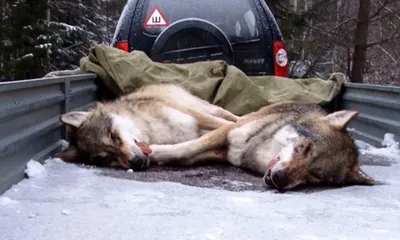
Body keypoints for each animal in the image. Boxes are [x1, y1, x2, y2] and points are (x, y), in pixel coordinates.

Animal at [55, 83, 239, 170]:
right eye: (106, 158)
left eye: (113, 136)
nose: (136, 162)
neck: (151, 131)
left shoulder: (195, 117)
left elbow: (228, 125)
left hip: (209, 109)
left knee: (229, 116)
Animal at [148, 101, 376, 191]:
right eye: (305, 148)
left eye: (314, 176)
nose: (280, 179)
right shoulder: (229, 132)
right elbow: (188, 147)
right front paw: (156, 151)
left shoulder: (223, 152)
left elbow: (188, 154)